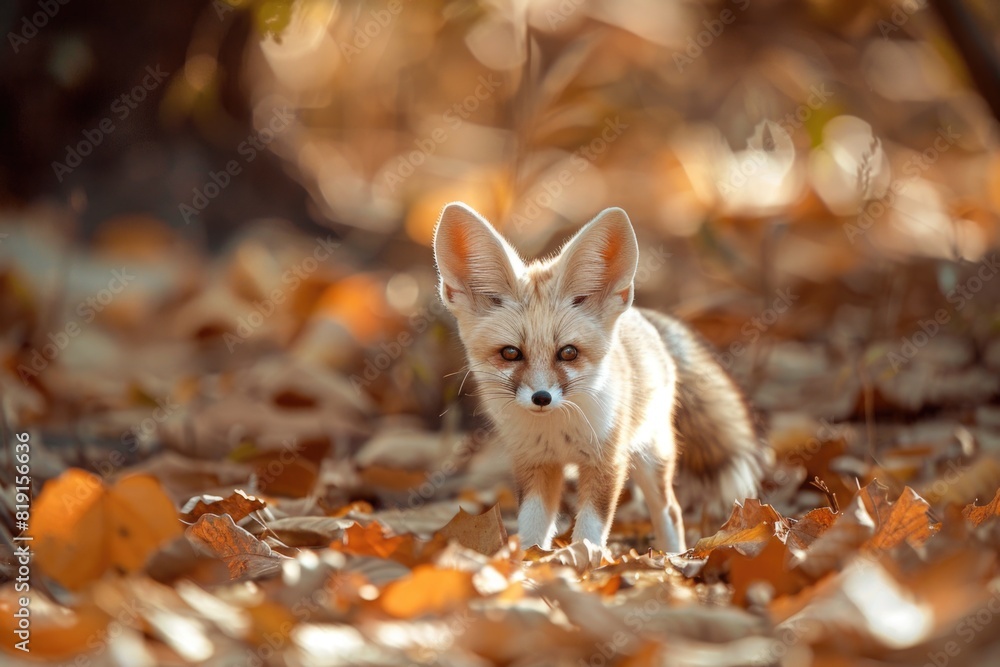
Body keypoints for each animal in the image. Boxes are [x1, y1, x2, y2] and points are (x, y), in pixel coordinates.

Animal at [433, 202, 768, 552]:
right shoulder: (535, 463)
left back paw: (675, 556)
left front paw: (585, 560)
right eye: (511, 353)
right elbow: (533, 530)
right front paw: (529, 562)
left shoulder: (607, 461)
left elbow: (590, 531)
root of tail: (643, 316)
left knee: (670, 511)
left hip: (651, 456)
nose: (541, 397)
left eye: (568, 352)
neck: (558, 431)